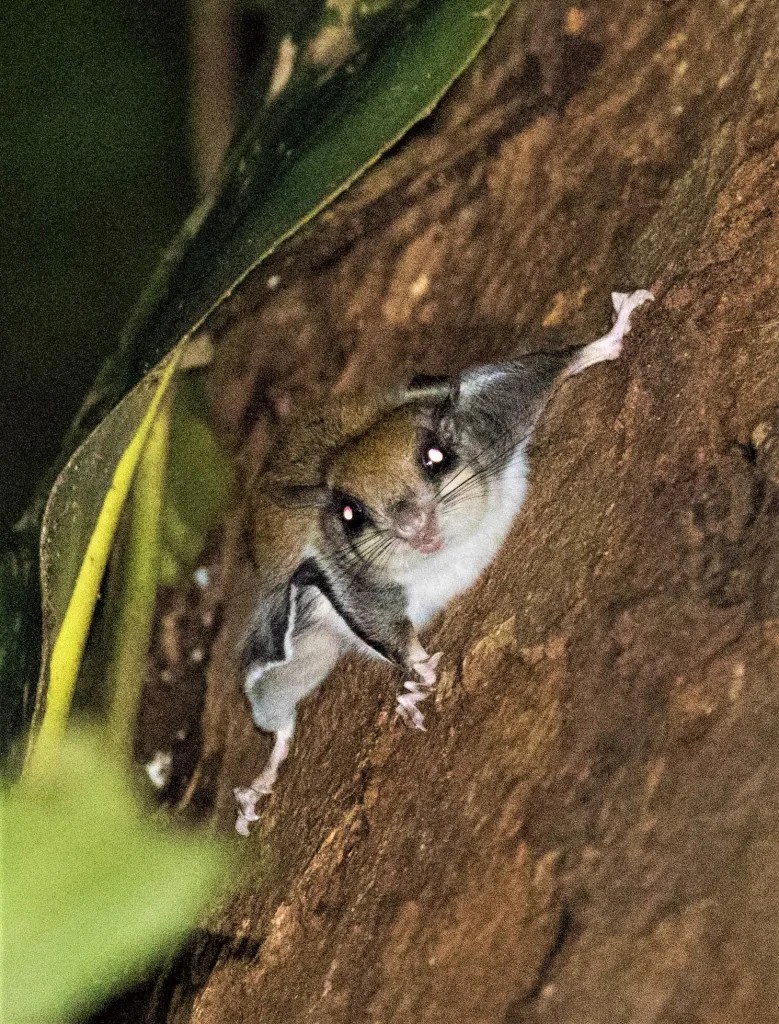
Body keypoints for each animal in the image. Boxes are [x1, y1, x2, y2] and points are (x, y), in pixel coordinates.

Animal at [233, 289, 653, 835]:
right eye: (351, 514)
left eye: (436, 457)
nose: (413, 525)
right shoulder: (342, 578)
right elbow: (385, 628)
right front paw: (421, 675)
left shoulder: (495, 421)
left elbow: (550, 367)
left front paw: (611, 332)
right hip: (290, 652)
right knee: (275, 714)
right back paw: (258, 787)